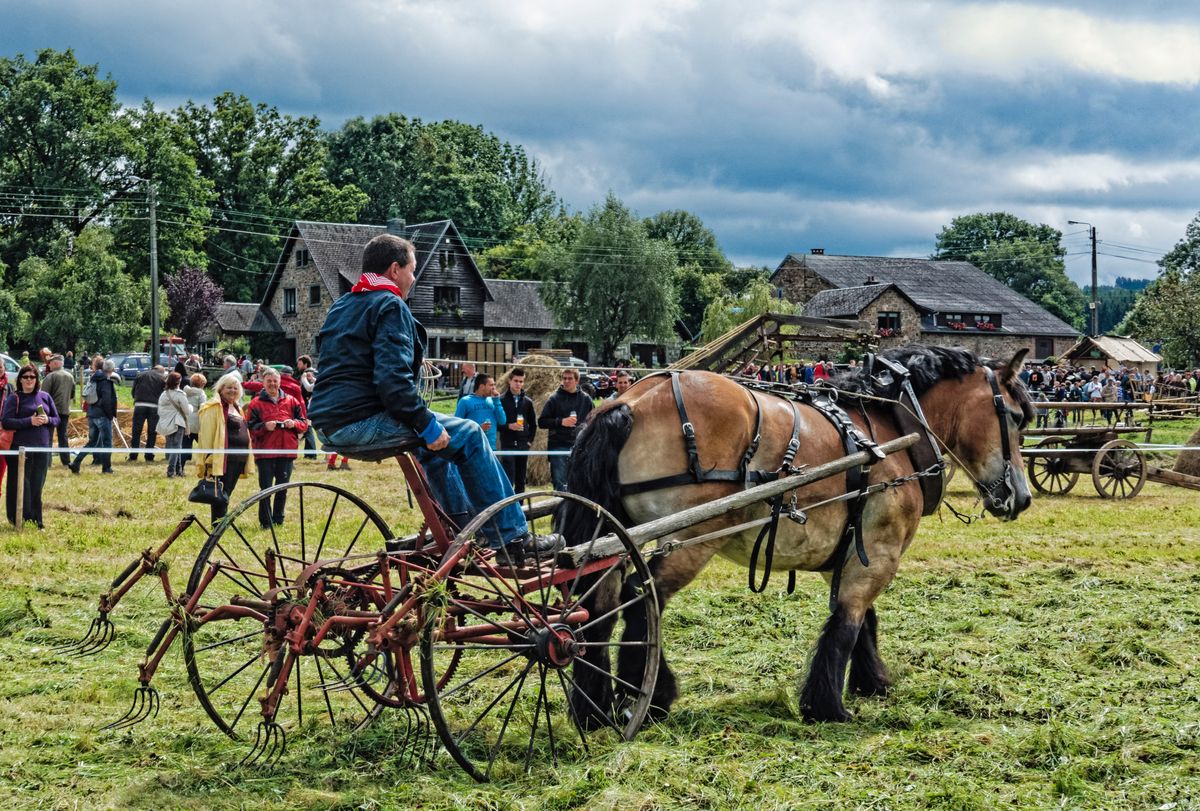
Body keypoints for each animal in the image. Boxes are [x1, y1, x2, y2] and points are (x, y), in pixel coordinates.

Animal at [559, 345, 1032, 724]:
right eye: (1015, 418)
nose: (1022, 497)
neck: (891, 430)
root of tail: (629, 402)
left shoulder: (848, 549)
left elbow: (863, 620)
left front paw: (871, 681)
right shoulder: (880, 552)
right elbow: (848, 622)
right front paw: (828, 706)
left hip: (614, 535)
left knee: (597, 606)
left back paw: (593, 707)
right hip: (693, 537)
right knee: (642, 602)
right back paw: (650, 696)